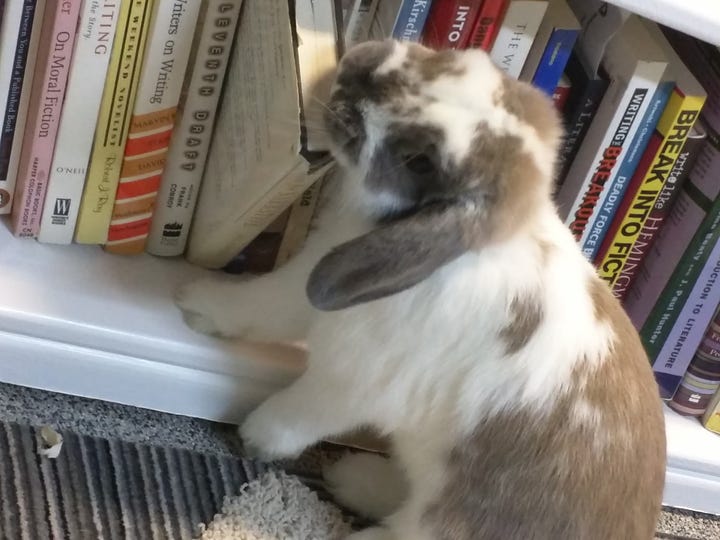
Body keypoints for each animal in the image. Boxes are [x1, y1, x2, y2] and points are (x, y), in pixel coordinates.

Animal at [173, 39, 664, 540]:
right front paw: (195, 302)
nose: (362, 74)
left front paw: (254, 434)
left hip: (435, 520)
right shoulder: (301, 285)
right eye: (463, 62)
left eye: (419, 161)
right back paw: (352, 477)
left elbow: (297, 404)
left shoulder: (350, 376)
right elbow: (259, 306)